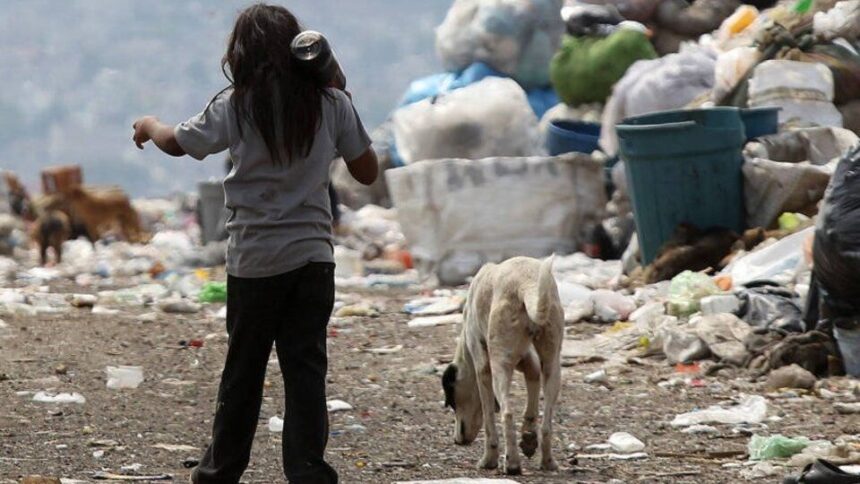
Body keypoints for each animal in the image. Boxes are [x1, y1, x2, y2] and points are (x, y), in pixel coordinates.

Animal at [444, 255, 564, 474]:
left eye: (452, 402)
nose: (457, 441)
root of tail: (526, 283)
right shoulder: (528, 360)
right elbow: (532, 385)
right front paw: (528, 437)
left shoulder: (483, 368)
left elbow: (489, 418)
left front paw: (488, 459)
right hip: (552, 364)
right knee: (547, 424)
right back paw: (547, 461)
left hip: (500, 364)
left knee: (507, 413)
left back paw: (512, 463)